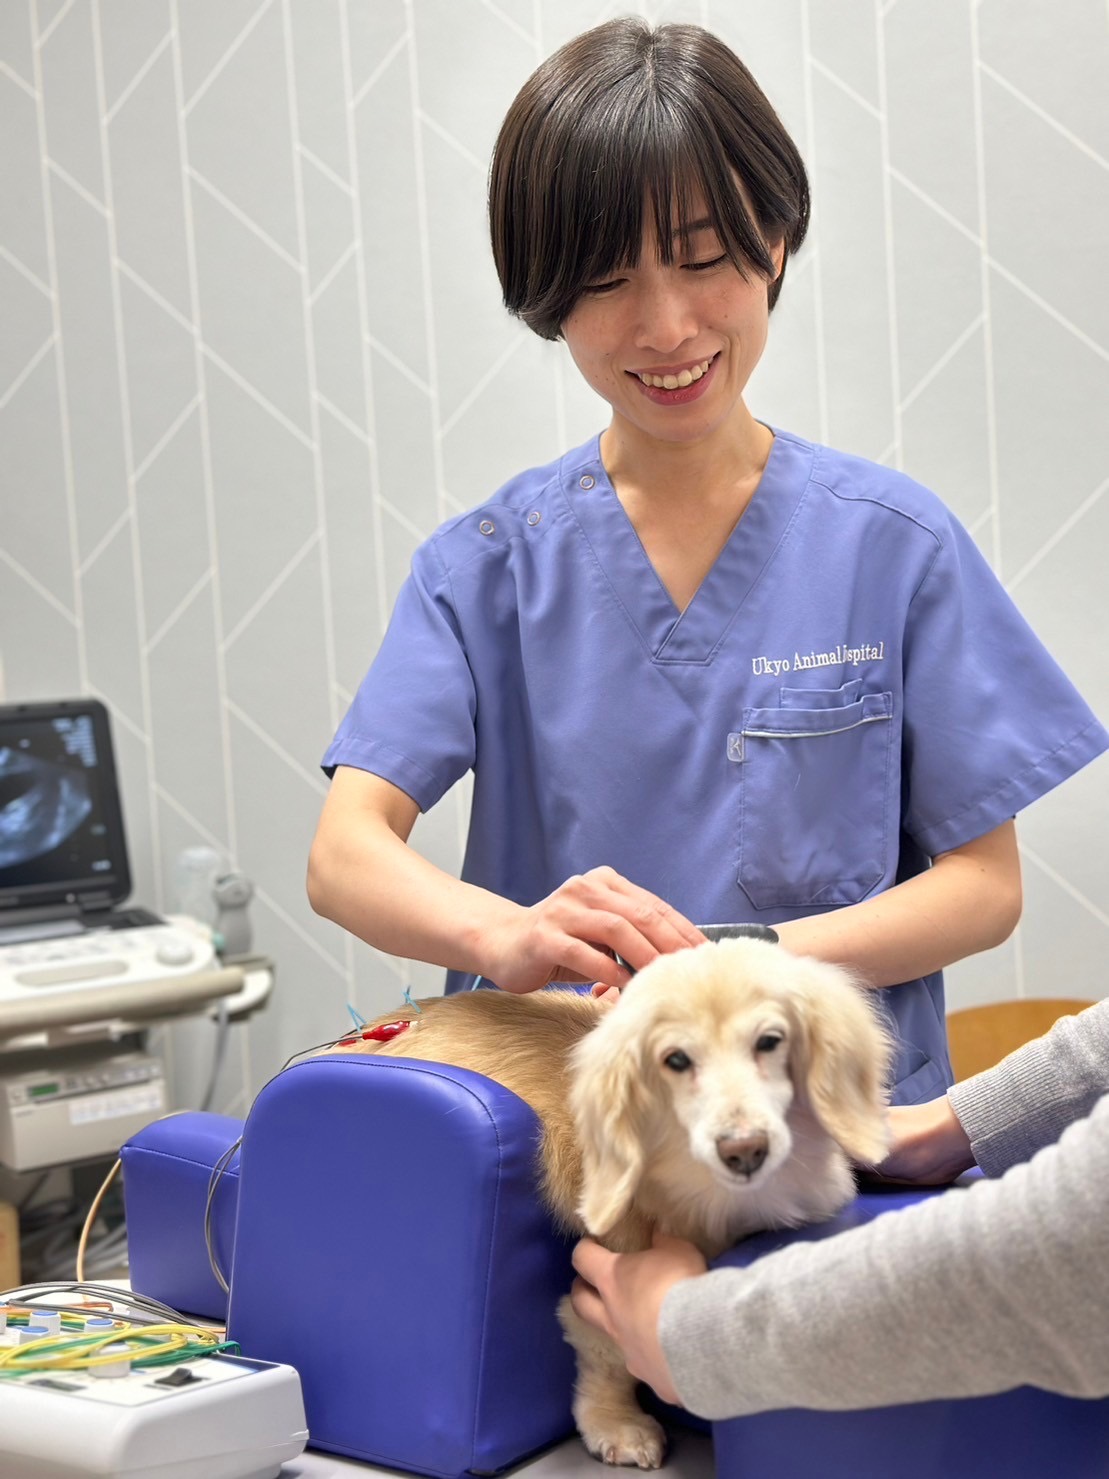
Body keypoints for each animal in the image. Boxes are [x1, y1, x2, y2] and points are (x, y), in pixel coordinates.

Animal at [338, 940, 893, 1461]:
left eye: (770, 1042)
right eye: (675, 1060)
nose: (743, 1149)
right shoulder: (612, 1260)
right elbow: (607, 1351)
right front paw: (618, 1424)